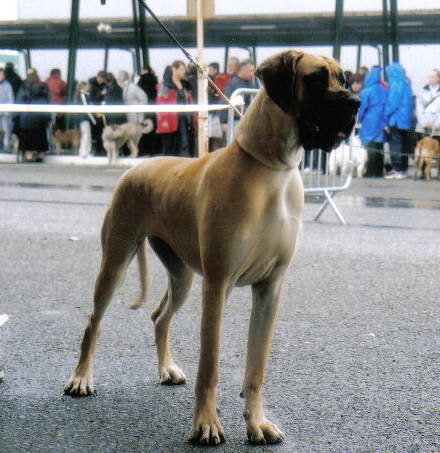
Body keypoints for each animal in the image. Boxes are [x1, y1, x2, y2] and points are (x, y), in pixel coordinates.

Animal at [65, 51, 360, 444]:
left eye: (343, 78)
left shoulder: (270, 289)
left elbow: (256, 367)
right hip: (115, 261)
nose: (355, 102)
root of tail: (135, 167)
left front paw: (256, 422)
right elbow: (210, 364)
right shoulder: (218, 284)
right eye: (315, 79)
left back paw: (167, 368)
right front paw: (205, 423)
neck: (271, 169)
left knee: (159, 316)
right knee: (93, 323)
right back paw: (81, 378)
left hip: (182, 276)